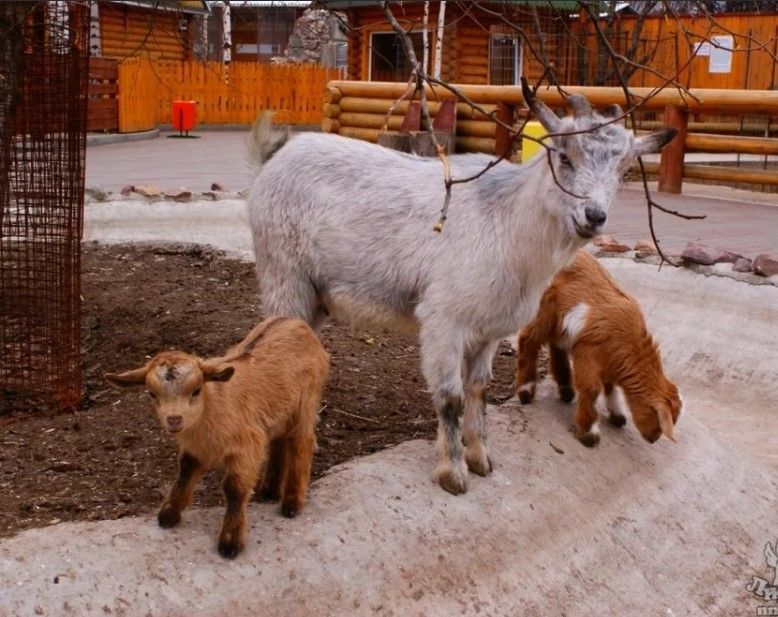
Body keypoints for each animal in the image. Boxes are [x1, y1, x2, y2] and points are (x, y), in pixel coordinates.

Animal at [105, 317, 330, 559]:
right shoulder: (195, 449)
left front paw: (230, 543)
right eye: (151, 393)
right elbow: (185, 472)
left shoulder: (246, 448)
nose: (174, 419)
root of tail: (296, 322)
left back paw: (292, 503)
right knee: (279, 442)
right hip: (279, 414)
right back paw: (269, 491)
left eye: (196, 390)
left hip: (306, 403)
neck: (211, 407)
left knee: (302, 442)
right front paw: (168, 515)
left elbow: (234, 489)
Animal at [515, 251, 682, 446]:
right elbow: (592, 389)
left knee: (556, 347)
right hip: (544, 309)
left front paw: (618, 415)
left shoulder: (611, 359)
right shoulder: (588, 351)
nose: (653, 440)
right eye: (657, 418)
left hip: (561, 324)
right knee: (528, 340)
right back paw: (526, 392)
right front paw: (589, 433)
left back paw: (566, 391)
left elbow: (611, 386)